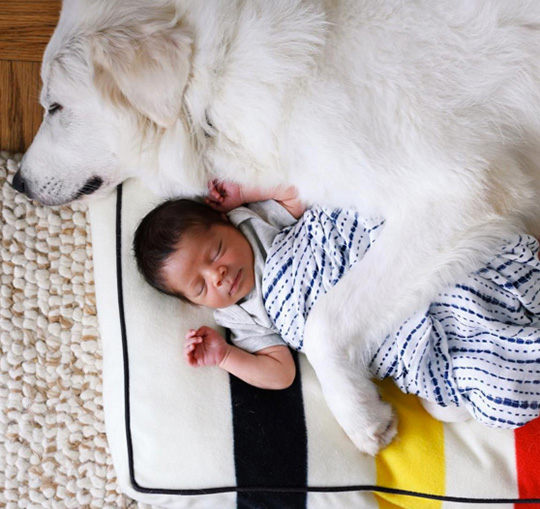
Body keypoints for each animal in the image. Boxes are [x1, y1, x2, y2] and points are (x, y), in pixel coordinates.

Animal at [13, 0, 540, 452]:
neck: (219, 72)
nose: (17, 183)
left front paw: (361, 417)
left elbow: (325, 321)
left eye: (54, 107)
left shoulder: (459, 194)